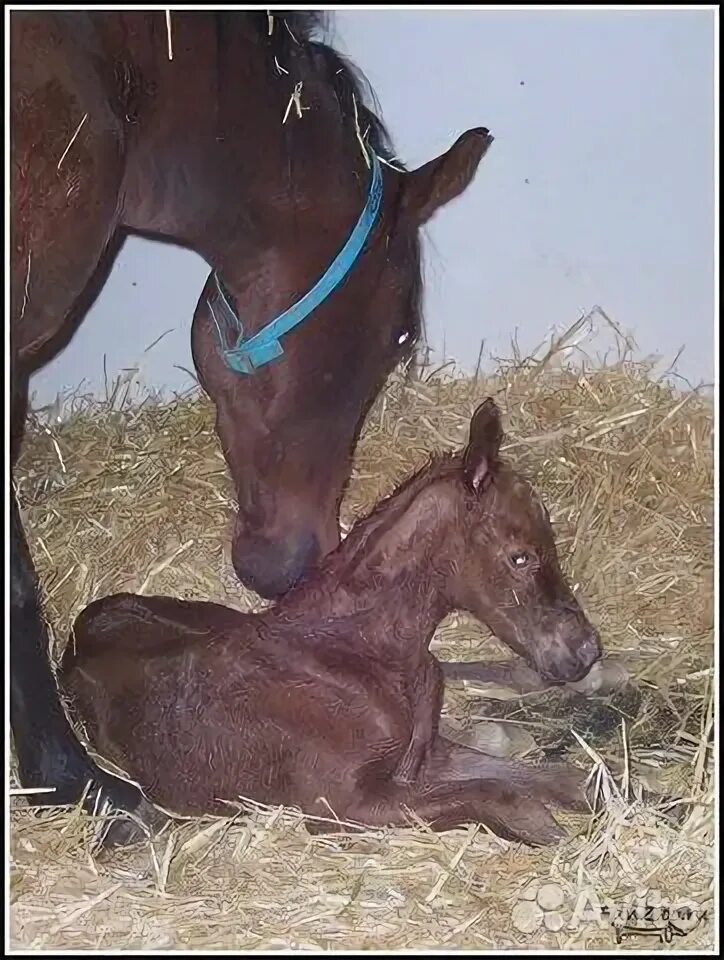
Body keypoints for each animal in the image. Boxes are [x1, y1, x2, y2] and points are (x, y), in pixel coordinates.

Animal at [62, 398, 604, 848]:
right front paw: (546, 829)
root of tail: (85, 625)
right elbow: (497, 793)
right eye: (520, 557)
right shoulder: (343, 807)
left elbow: (556, 778)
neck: (359, 650)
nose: (585, 651)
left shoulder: (424, 757)